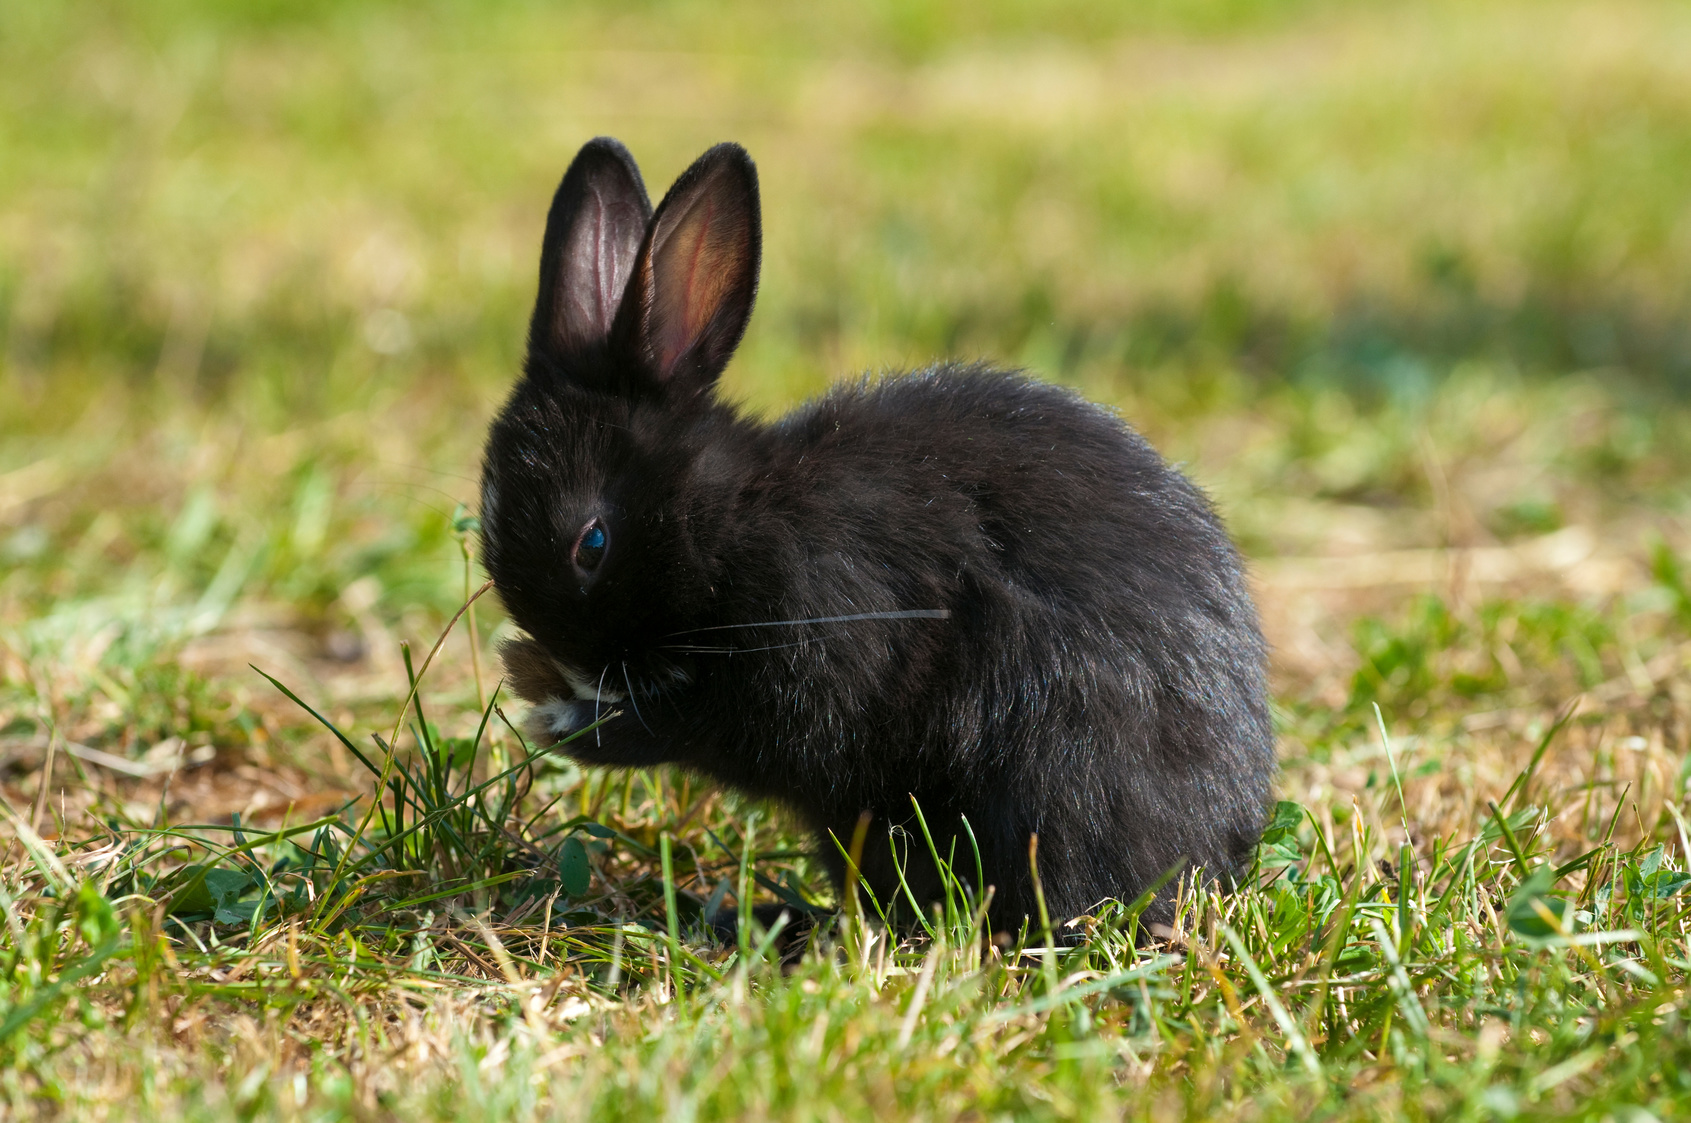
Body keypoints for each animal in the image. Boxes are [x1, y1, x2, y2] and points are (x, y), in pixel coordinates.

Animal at [476, 137, 1271, 926]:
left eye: (592, 543)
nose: (576, 667)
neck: (733, 520)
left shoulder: (818, 637)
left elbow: (699, 727)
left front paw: (566, 723)